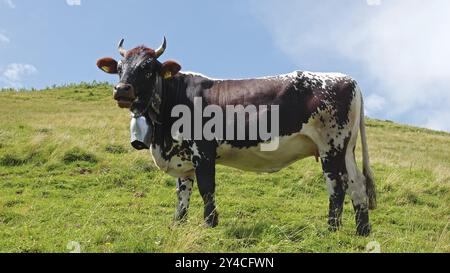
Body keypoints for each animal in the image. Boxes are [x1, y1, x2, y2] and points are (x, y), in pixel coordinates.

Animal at [97, 37, 376, 235]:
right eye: (119, 68)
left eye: (147, 68)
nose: (122, 89)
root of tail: (347, 79)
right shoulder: (182, 158)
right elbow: (182, 193)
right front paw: (177, 223)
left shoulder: (203, 152)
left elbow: (206, 189)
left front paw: (210, 224)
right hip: (346, 150)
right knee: (358, 185)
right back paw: (362, 231)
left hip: (331, 146)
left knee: (337, 187)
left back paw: (331, 230)